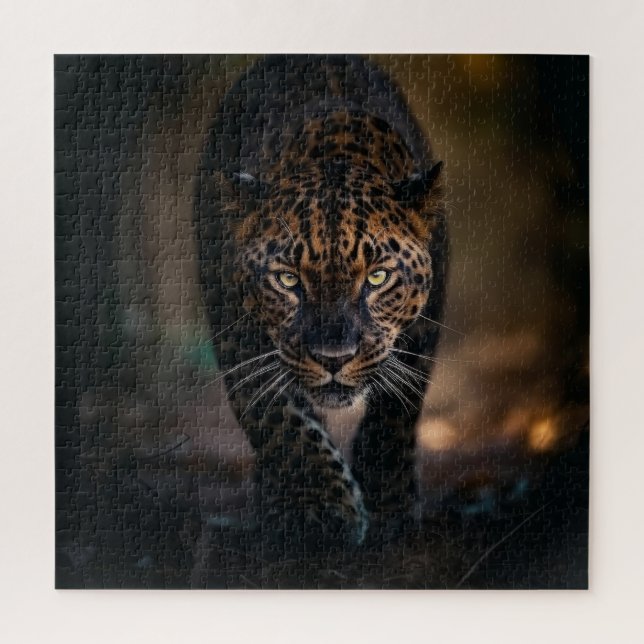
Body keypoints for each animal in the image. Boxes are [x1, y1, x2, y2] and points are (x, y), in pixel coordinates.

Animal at [196, 55, 447, 550]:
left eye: (377, 277)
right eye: (288, 280)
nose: (334, 359)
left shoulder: (424, 330)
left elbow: (396, 412)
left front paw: (389, 501)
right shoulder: (236, 331)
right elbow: (278, 419)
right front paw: (319, 508)